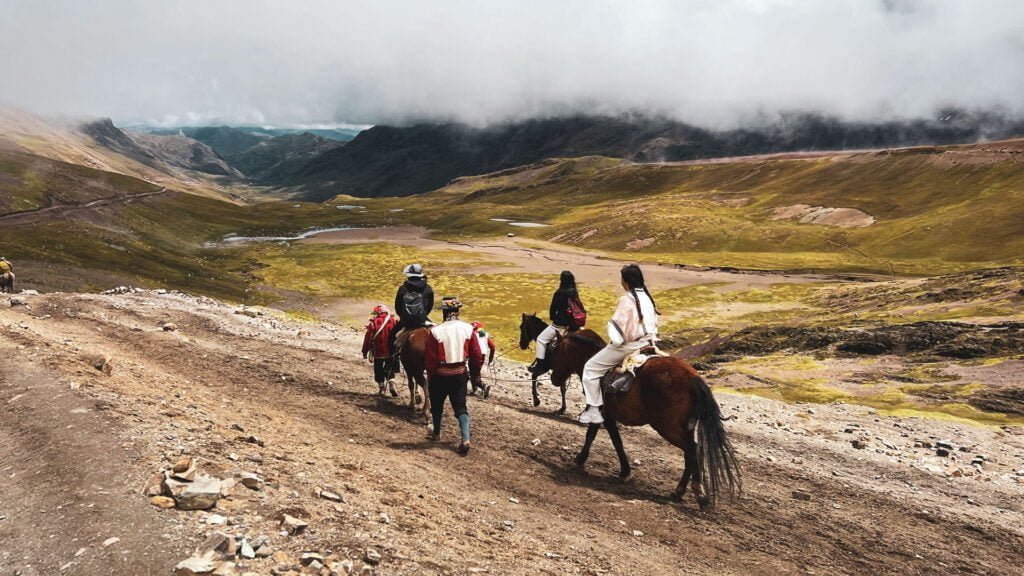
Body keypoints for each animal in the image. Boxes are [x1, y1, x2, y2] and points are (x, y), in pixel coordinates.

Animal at [544, 330, 737, 508]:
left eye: (556, 351)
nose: (553, 379)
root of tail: (692, 378)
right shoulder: (607, 415)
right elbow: (610, 439)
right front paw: (622, 470)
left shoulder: (603, 413)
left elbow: (604, 438)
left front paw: (584, 460)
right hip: (684, 427)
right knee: (691, 452)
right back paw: (679, 491)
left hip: (667, 427)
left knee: (692, 449)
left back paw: (699, 494)